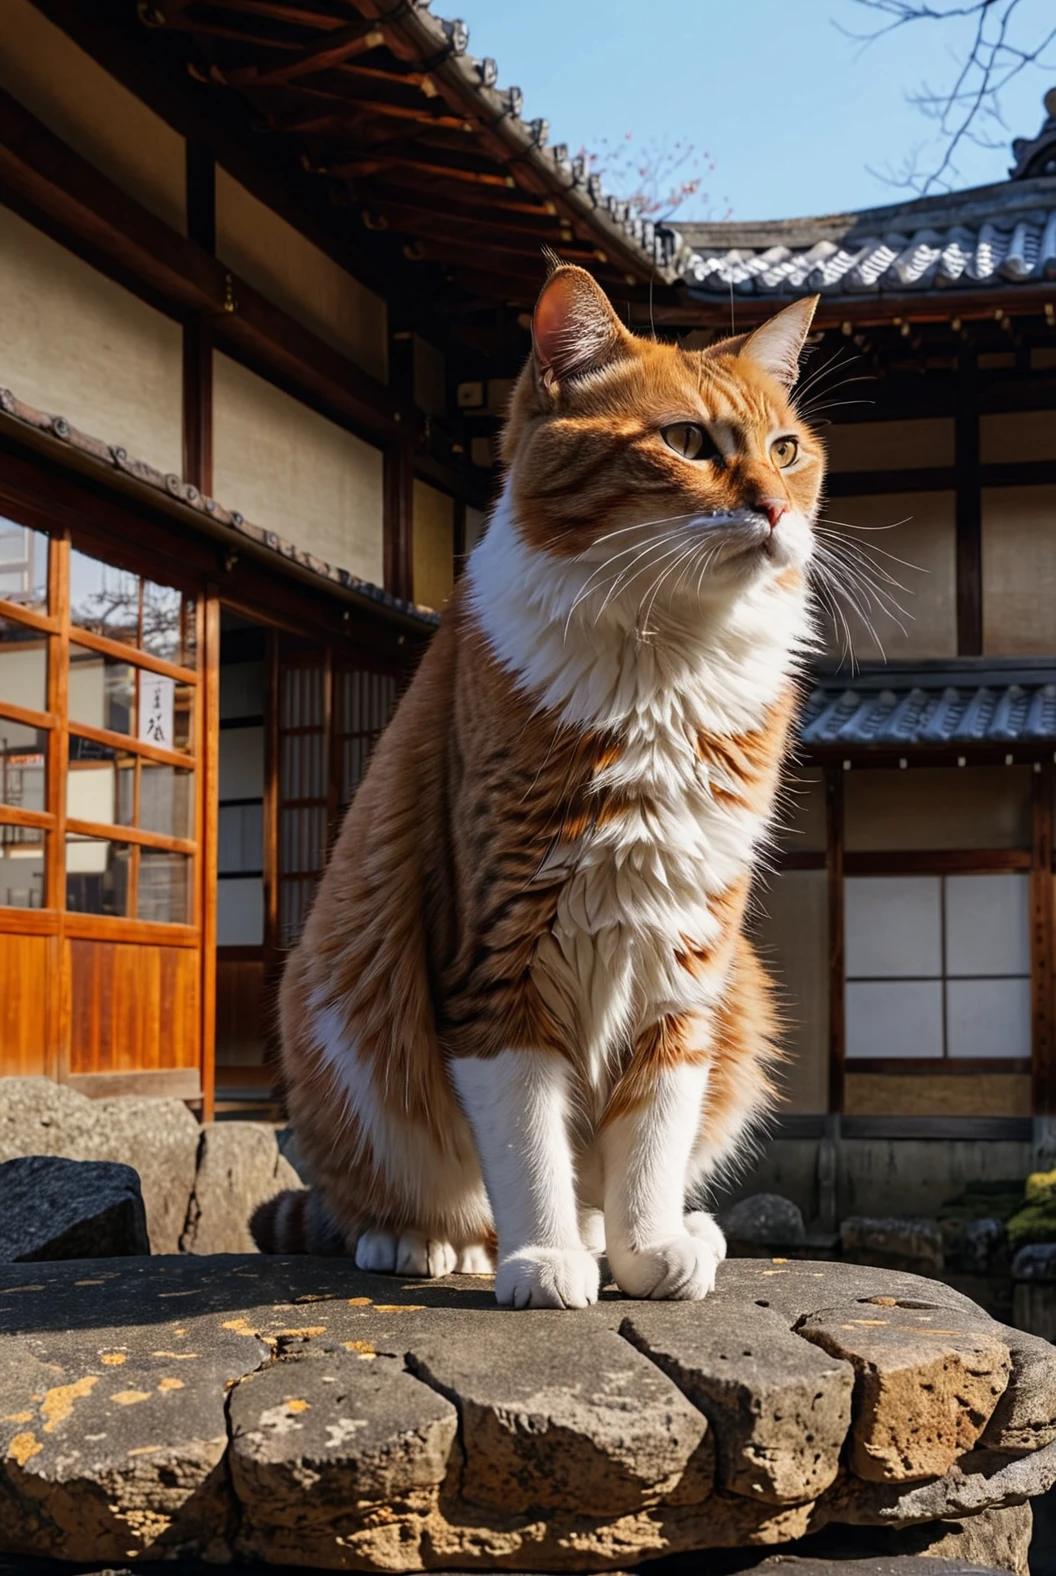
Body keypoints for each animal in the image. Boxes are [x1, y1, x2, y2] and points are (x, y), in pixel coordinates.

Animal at [258, 267, 825, 1304]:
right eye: (688, 442)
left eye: (786, 449)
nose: (776, 509)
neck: (665, 667)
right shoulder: (496, 946)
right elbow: (525, 1135)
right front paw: (543, 1260)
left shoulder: (689, 950)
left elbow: (652, 1124)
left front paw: (644, 1247)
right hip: (336, 990)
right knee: (388, 1190)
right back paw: (423, 1241)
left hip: (746, 995)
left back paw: (664, 1231)